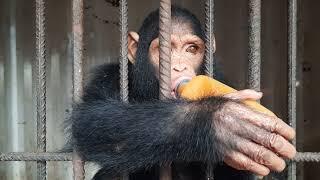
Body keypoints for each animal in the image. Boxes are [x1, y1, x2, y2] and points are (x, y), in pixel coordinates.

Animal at [69, 5, 296, 180]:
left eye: (191, 49)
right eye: (165, 49)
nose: (179, 67)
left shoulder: (220, 79)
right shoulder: (107, 80)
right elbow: (94, 120)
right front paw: (224, 123)